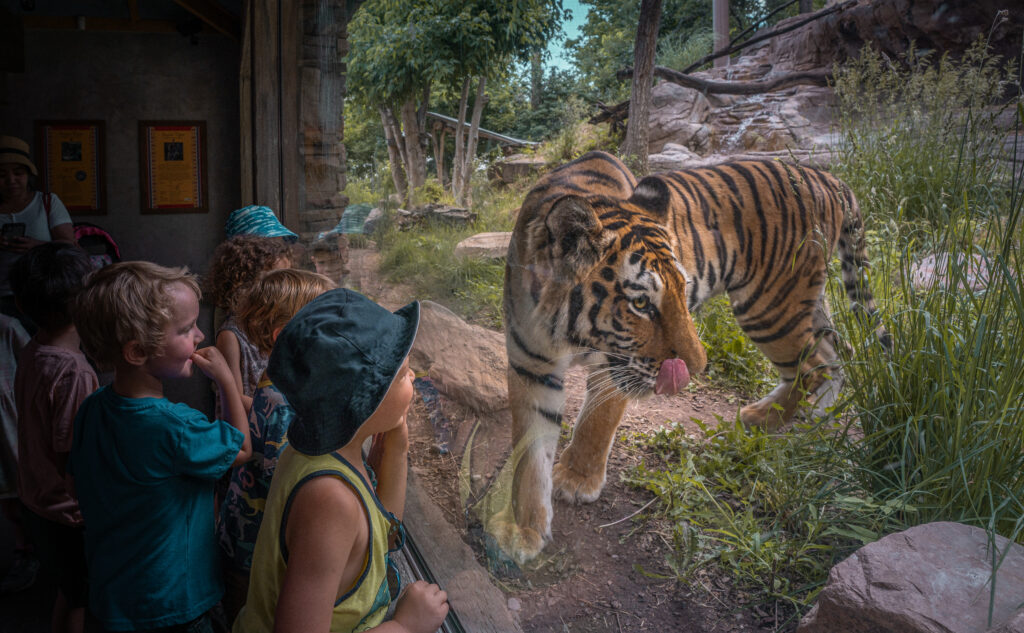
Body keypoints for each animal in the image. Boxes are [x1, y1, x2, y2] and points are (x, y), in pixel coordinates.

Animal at [489, 149, 888, 561]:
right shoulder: (531, 365)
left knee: (813, 366)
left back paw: (765, 417)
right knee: (837, 351)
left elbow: (597, 421)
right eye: (641, 303)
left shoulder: (617, 367)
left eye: (684, 290)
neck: (568, 336)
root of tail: (828, 177)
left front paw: (576, 480)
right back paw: (814, 419)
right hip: (802, 305)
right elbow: (529, 455)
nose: (696, 369)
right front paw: (521, 530)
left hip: (771, 306)